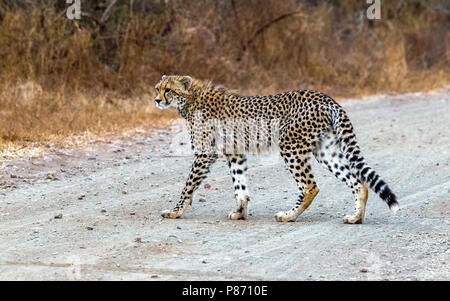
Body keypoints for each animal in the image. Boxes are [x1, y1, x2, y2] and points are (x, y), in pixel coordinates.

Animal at [154, 74, 398, 221]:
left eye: (168, 90)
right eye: (157, 88)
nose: (156, 100)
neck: (191, 99)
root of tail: (325, 97)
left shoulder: (205, 154)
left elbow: (188, 186)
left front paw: (175, 211)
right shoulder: (235, 153)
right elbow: (240, 186)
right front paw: (240, 212)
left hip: (290, 146)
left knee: (310, 186)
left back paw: (289, 215)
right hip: (324, 151)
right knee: (358, 182)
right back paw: (356, 217)